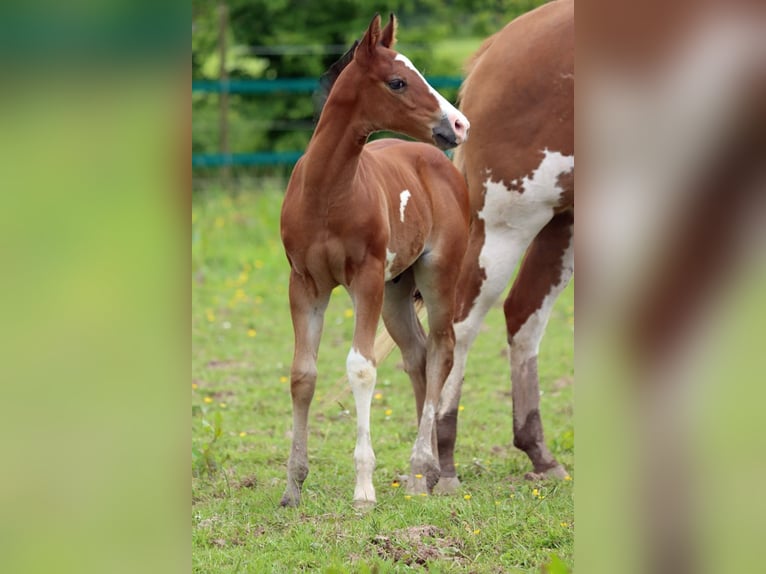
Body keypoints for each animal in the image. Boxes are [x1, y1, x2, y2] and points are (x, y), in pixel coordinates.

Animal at [279, 13, 471, 508]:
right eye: (398, 81)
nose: (459, 123)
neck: (326, 192)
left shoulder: (363, 279)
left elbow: (361, 367)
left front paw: (364, 489)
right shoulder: (304, 284)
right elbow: (302, 374)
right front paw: (293, 487)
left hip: (437, 275)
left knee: (441, 351)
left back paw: (423, 467)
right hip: (396, 290)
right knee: (417, 355)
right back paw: (421, 475)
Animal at [433, 0, 574, 493]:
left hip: (562, 221)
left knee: (525, 314)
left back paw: (540, 454)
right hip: (509, 223)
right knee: (462, 322)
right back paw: (444, 461)